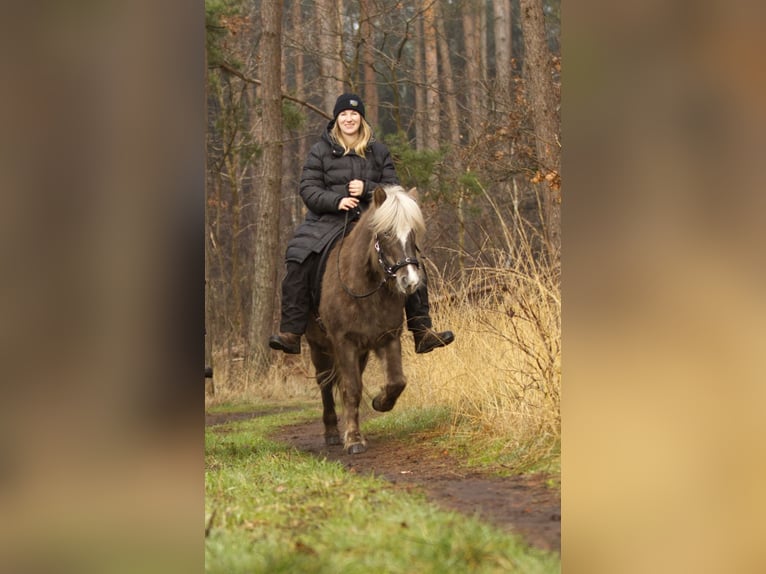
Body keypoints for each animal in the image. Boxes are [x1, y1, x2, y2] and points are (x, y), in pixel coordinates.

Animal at [304, 184, 426, 454]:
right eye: (386, 233)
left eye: (413, 233)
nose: (410, 281)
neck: (365, 289)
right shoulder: (344, 343)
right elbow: (351, 389)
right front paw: (353, 439)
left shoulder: (387, 338)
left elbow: (396, 381)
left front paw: (380, 402)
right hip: (318, 346)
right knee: (325, 383)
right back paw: (332, 432)